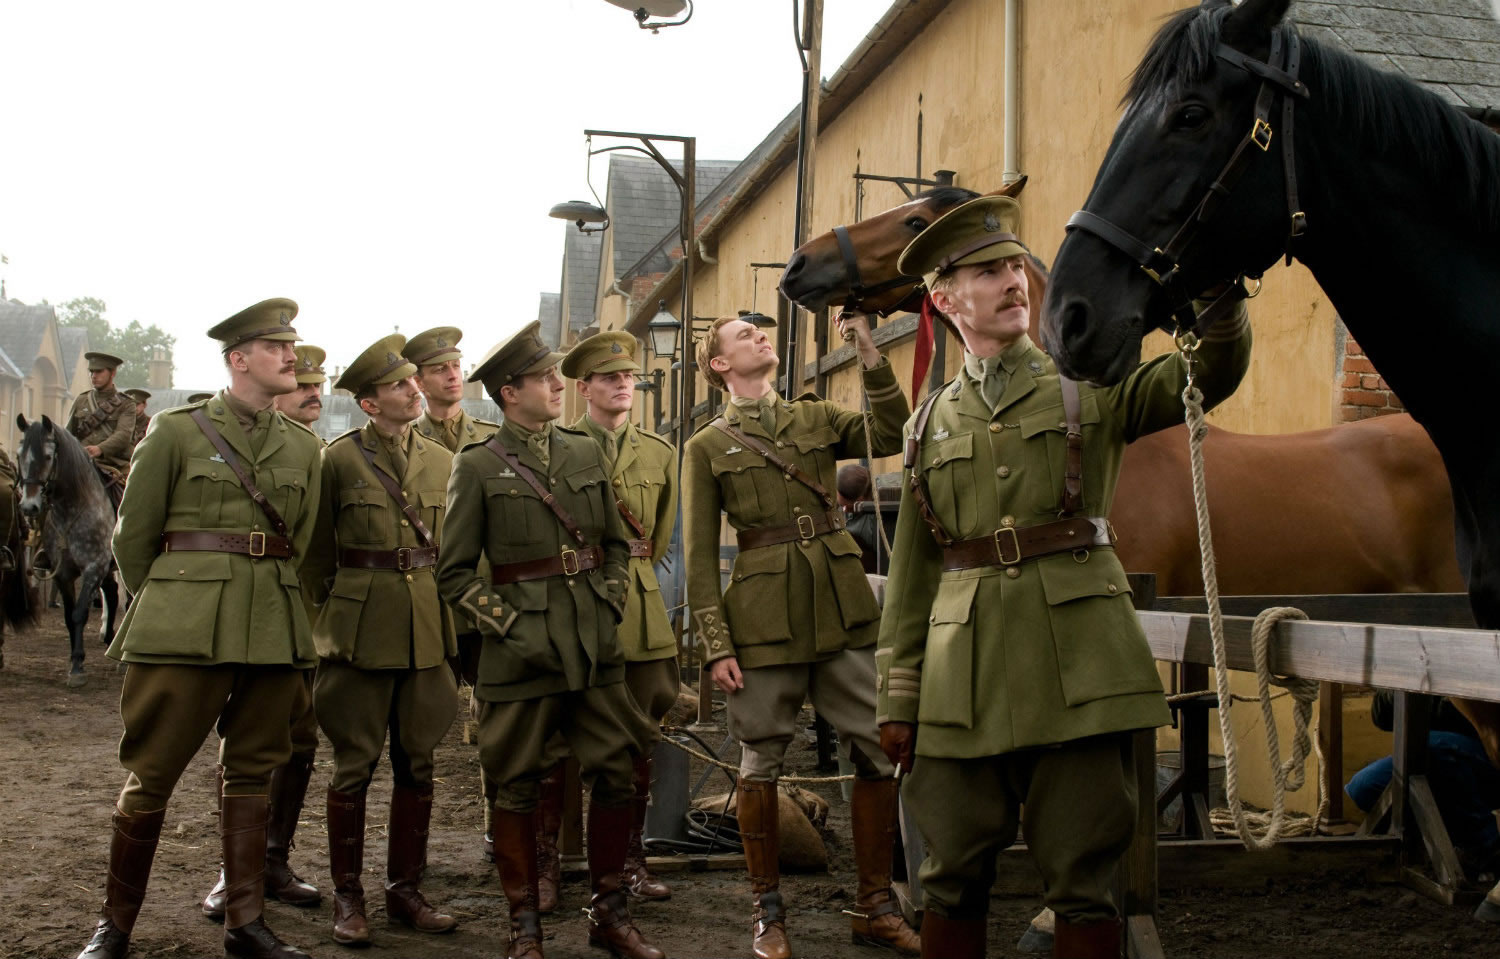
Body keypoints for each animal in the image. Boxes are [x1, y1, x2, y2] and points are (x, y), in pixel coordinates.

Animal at [15, 417, 123, 687]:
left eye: (47, 456)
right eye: (20, 455)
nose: (29, 507)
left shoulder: (94, 568)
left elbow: (79, 613)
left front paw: (76, 666)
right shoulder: (63, 572)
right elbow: (67, 616)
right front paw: (76, 660)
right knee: (113, 594)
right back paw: (109, 638)